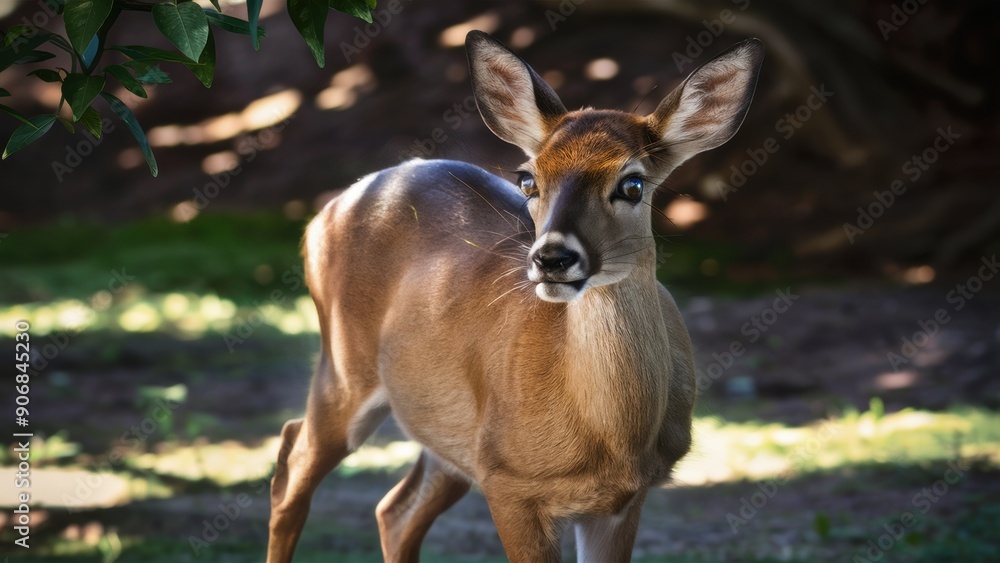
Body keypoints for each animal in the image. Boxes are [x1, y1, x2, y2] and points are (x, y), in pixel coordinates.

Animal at [266, 32, 764, 563]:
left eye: (632, 184)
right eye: (528, 178)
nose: (552, 258)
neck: (612, 440)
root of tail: (326, 213)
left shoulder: (621, 500)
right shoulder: (510, 481)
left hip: (451, 431)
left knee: (395, 509)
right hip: (345, 363)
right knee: (293, 458)